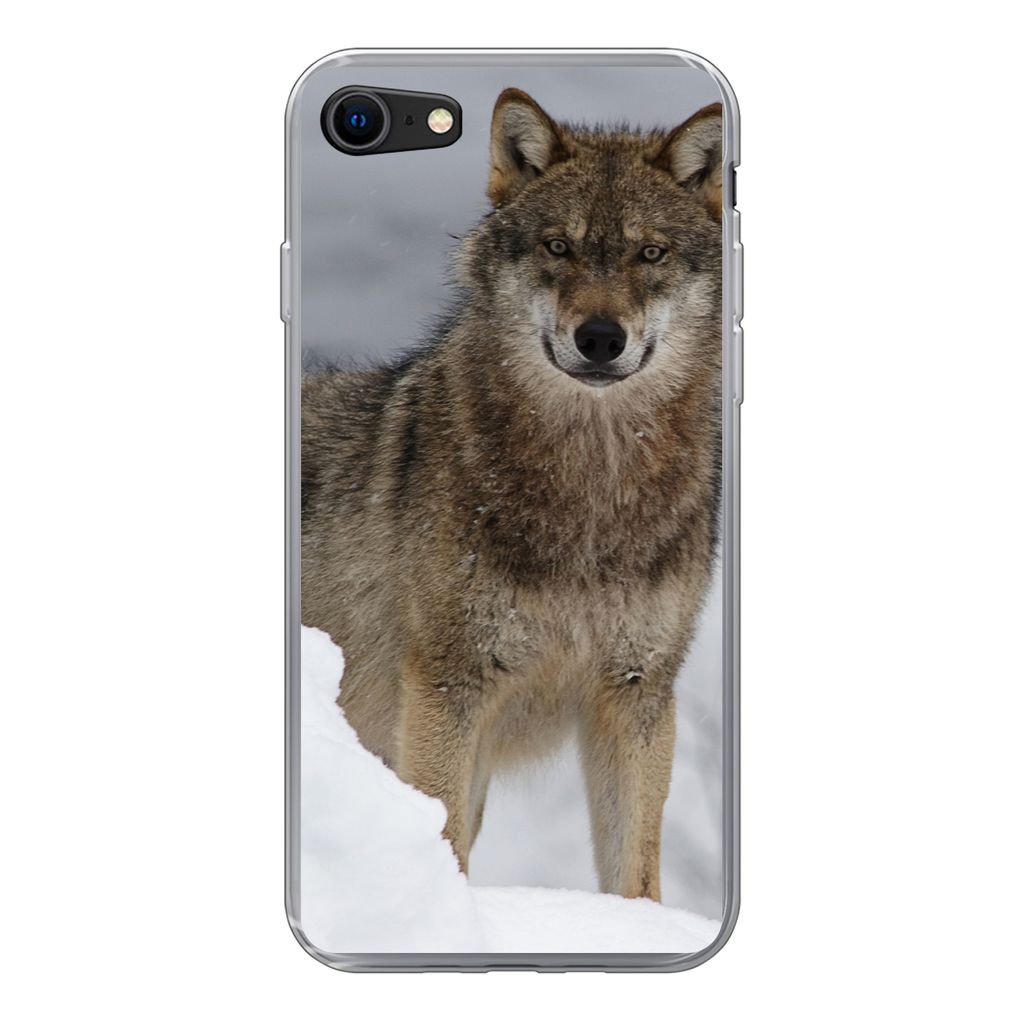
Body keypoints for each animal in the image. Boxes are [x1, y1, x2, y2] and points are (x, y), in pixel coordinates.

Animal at [302, 89, 723, 901]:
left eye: (649, 254)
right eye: (558, 248)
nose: (600, 338)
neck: (593, 491)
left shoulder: (637, 693)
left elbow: (636, 874)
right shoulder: (448, 687)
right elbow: (444, 840)